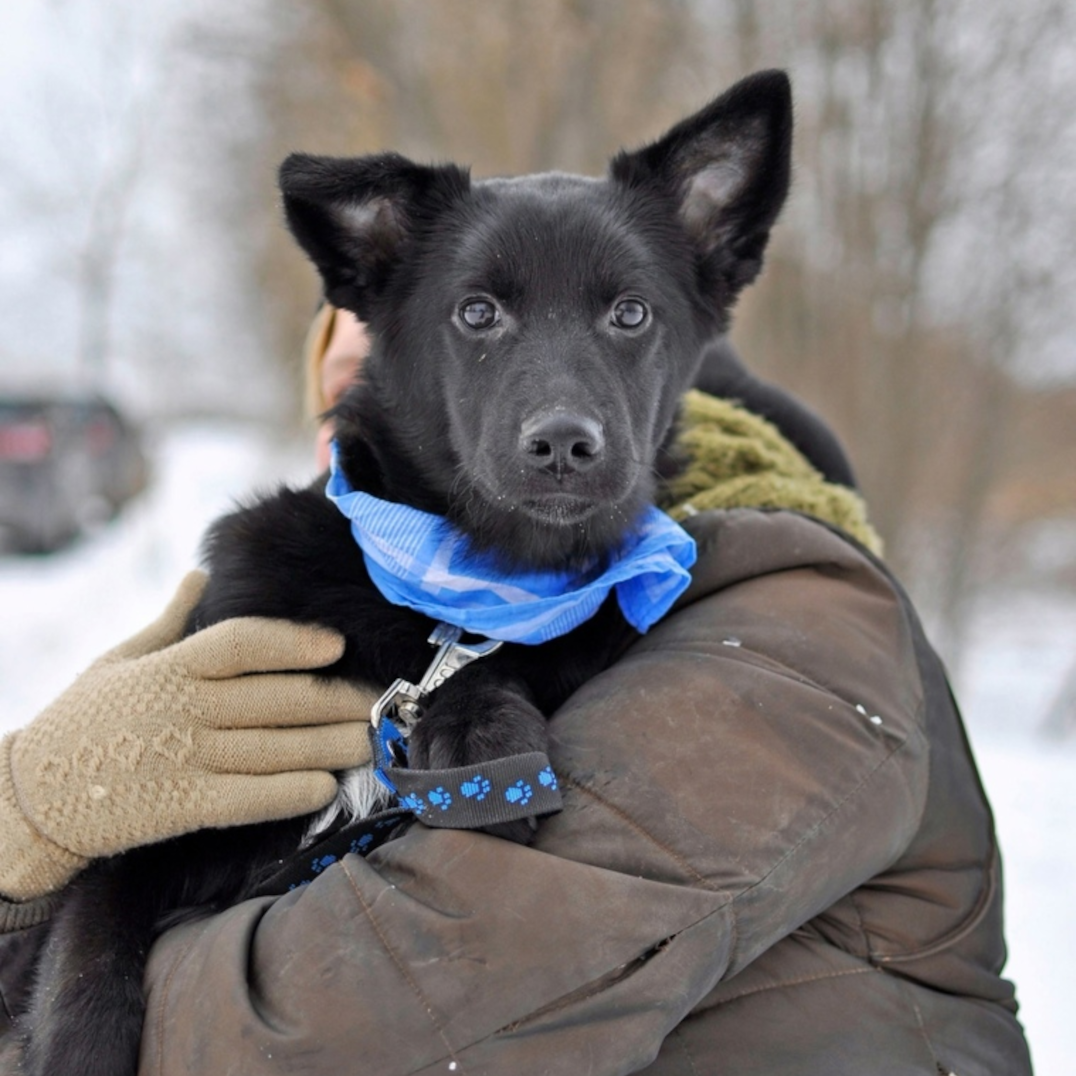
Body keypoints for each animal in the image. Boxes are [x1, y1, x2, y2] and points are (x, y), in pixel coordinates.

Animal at [16, 69, 847, 1076]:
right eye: (478, 312)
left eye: (631, 313)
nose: (563, 445)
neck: (452, 591)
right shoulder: (152, 838)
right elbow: (85, 952)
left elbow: (496, 665)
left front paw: (481, 728)